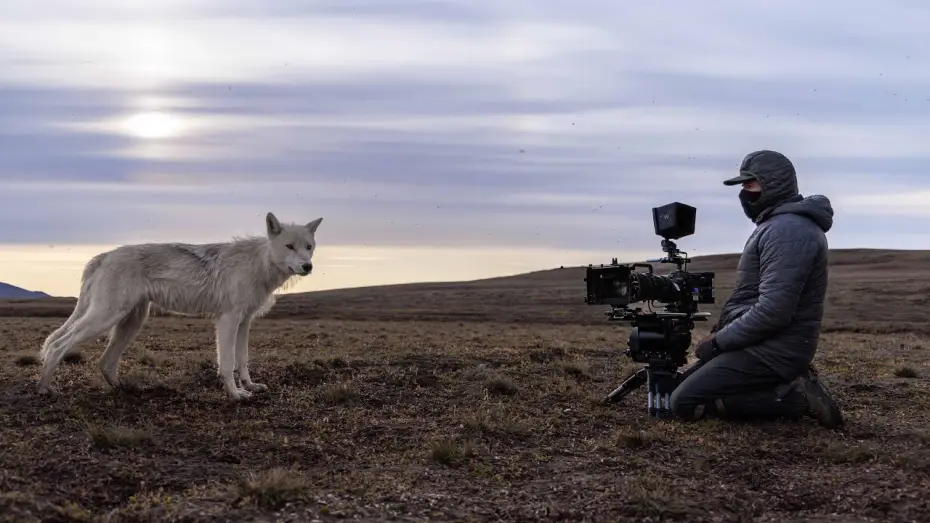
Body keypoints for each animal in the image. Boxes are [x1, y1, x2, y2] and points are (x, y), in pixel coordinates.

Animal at [37, 212, 322, 401]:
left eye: (309, 247)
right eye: (289, 246)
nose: (307, 266)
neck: (260, 264)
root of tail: (104, 256)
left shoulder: (245, 322)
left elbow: (243, 359)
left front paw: (250, 386)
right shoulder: (228, 320)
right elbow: (227, 362)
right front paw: (234, 393)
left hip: (130, 323)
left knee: (104, 362)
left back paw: (125, 389)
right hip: (105, 319)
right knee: (59, 345)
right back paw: (45, 388)